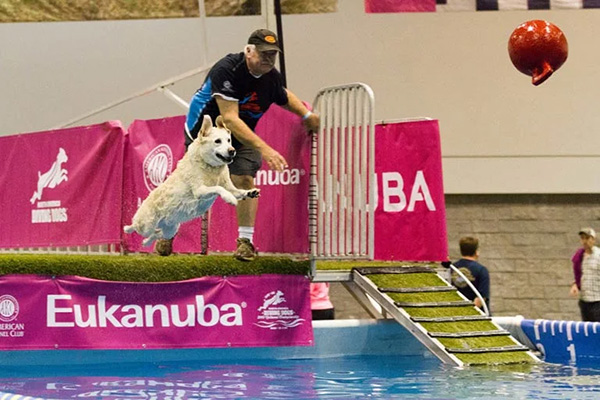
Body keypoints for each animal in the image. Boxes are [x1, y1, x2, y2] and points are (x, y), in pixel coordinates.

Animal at [123, 115, 258, 245]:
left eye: (229, 140)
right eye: (217, 141)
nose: (232, 151)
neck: (211, 167)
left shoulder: (229, 187)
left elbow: (238, 191)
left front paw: (250, 192)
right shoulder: (199, 190)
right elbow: (218, 188)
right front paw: (229, 198)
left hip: (171, 228)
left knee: (157, 234)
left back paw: (146, 242)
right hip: (147, 224)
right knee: (138, 227)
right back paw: (128, 229)